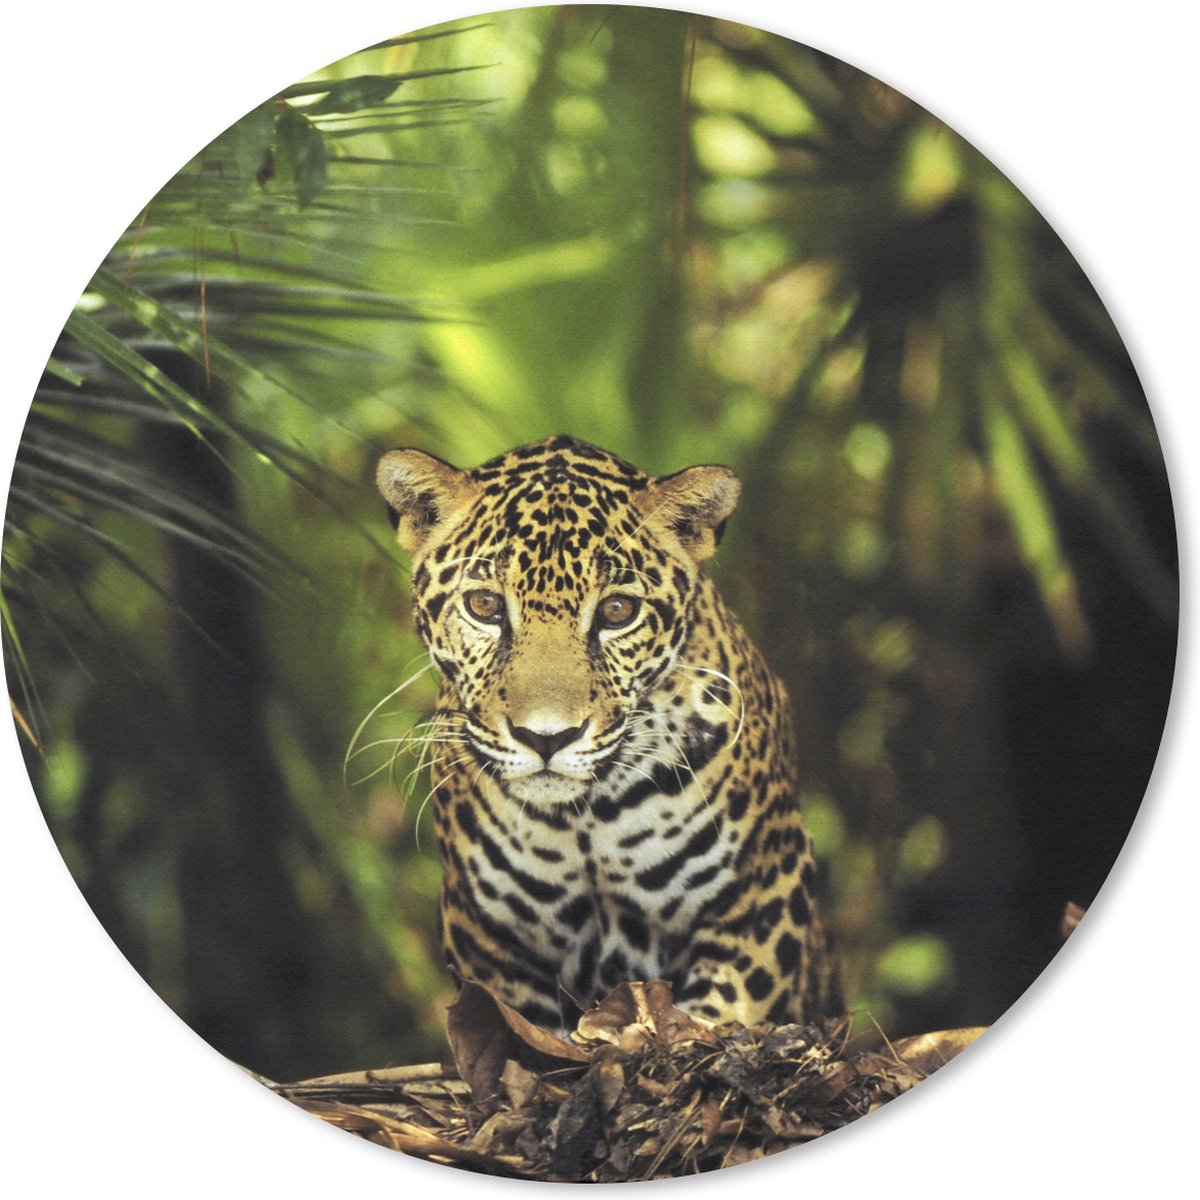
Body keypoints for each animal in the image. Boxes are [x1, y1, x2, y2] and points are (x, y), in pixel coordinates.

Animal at [376, 434, 840, 1028]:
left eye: (618, 611)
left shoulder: (764, 896)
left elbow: (720, 1016)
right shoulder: (489, 938)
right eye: (485, 606)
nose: (546, 738)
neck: (587, 819)